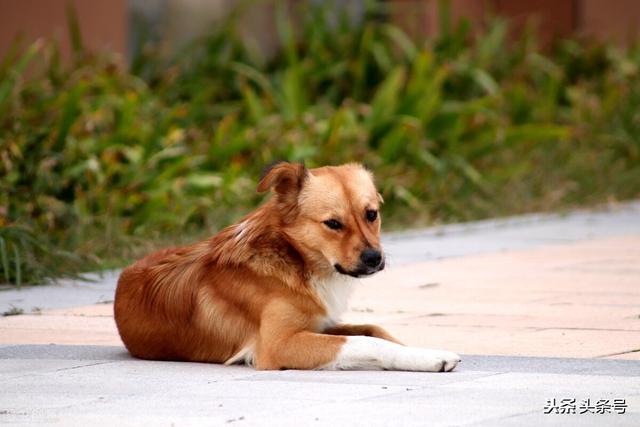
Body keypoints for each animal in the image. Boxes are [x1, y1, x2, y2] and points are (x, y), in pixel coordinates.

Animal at [111, 163, 460, 372]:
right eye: (333, 224)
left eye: (371, 214)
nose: (375, 258)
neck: (296, 261)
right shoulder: (279, 345)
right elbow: (364, 341)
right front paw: (431, 357)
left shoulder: (319, 323)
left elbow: (374, 330)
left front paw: (421, 351)